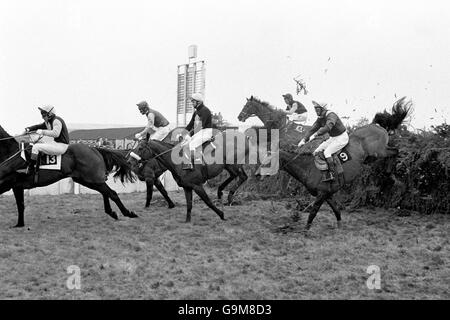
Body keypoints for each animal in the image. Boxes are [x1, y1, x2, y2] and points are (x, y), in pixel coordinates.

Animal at [0, 125, 137, 228]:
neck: (11, 154)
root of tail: (95, 149)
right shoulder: (15, 186)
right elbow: (20, 205)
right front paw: (19, 224)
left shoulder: (9, 184)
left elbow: (19, 204)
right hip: (86, 180)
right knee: (105, 192)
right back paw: (112, 212)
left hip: (91, 178)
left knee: (112, 193)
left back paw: (128, 213)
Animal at [237, 96, 414, 229]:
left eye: (247, 105)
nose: (240, 117)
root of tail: (376, 125)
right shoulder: (328, 194)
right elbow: (336, 210)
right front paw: (339, 225)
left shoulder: (322, 193)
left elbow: (313, 211)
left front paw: (305, 229)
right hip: (372, 156)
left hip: (379, 150)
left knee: (395, 151)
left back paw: (392, 173)